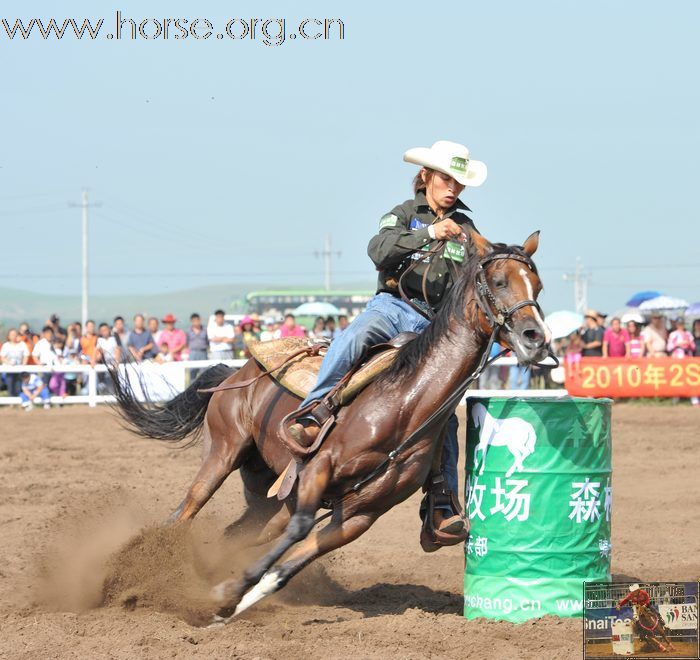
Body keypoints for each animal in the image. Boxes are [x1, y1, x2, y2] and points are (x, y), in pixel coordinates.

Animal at [110, 228, 548, 624]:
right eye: (498, 281)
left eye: (538, 286)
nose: (536, 339)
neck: (403, 403)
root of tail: (238, 368)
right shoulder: (319, 469)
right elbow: (301, 530)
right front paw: (228, 591)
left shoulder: (359, 515)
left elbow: (287, 567)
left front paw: (227, 600)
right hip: (223, 453)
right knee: (185, 511)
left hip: (267, 496)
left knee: (236, 534)